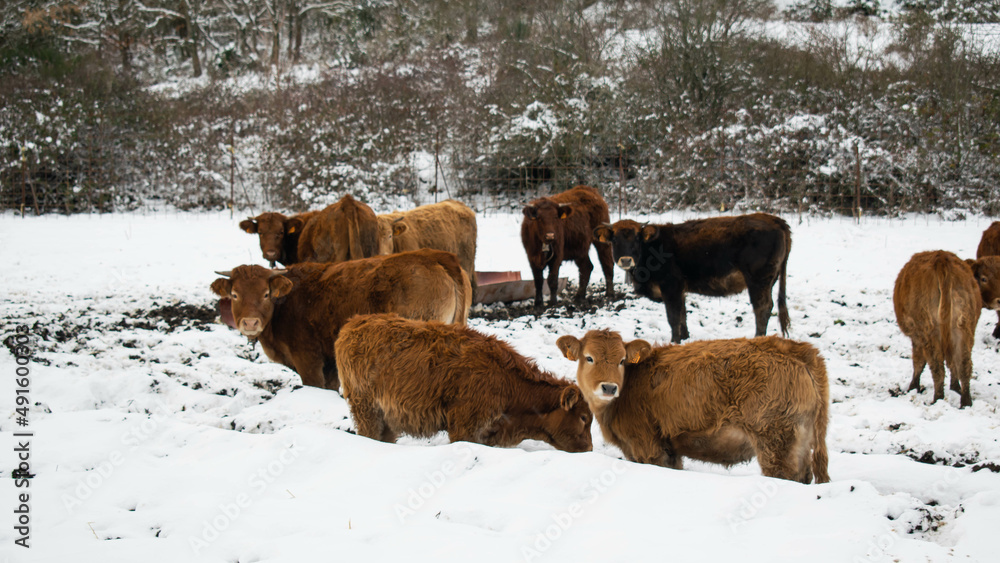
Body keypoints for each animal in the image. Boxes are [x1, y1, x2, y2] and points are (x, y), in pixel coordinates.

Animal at [210, 251, 472, 392]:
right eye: (235, 294)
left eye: (265, 294)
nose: (250, 323)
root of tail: (434, 256)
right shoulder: (331, 364)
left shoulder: (308, 359)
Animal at [334, 316, 592, 456]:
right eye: (583, 418)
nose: (589, 448)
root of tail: (354, 324)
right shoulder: (464, 429)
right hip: (366, 409)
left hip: (386, 417)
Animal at [556, 330, 828, 484]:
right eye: (589, 358)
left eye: (622, 360)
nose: (609, 387)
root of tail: (797, 350)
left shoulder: (647, 446)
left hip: (777, 444)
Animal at [592, 213, 788, 342]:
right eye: (614, 240)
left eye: (637, 239)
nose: (626, 260)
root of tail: (773, 219)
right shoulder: (680, 289)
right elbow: (683, 314)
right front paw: (685, 337)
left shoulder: (671, 286)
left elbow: (673, 316)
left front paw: (675, 341)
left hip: (758, 280)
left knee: (762, 308)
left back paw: (758, 337)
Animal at [896, 250, 996, 406]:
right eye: (984, 278)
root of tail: (941, 259)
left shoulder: (917, 338)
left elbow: (918, 362)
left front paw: (913, 387)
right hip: (963, 329)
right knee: (963, 364)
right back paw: (965, 401)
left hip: (930, 332)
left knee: (937, 366)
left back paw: (937, 399)